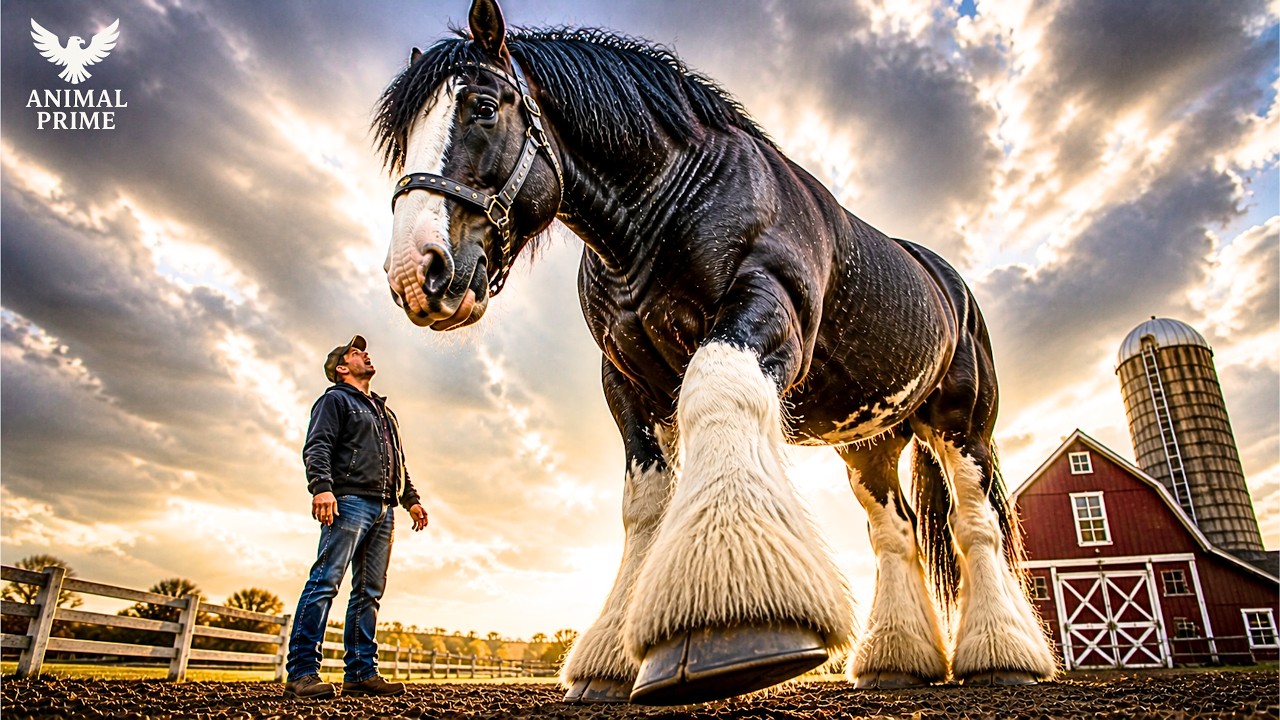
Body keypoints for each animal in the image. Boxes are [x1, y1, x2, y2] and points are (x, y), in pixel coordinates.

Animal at [374, 0, 1057, 705]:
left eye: (483, 106)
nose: (414, 274)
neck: (672, 203)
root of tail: (949, 284)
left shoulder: (764, 314)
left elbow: (719, 393)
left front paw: (730, 621)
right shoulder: (628, 382)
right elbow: (645, 500)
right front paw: (610, 659)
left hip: (961, 424)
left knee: (976, 524)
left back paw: (1001, 654)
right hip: (870, 444)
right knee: (894, 535)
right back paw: (897, 660)